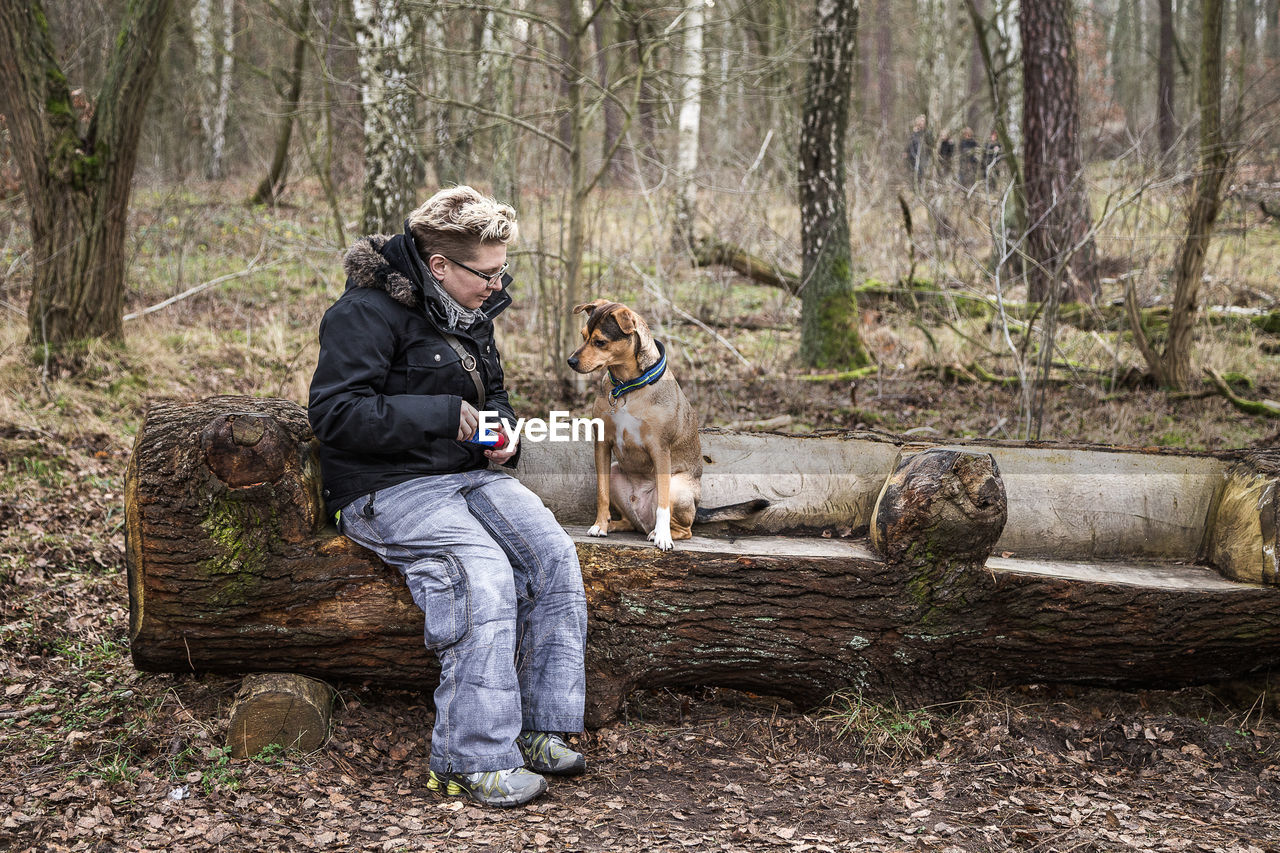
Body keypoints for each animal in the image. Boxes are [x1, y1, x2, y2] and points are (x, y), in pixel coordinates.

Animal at [568, 298, 762, 550]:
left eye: (600, 342)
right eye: (583, 336)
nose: (571, 361)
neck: (627, 387)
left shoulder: (660, 450)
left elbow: (662, 503)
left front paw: (663, 537)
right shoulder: (602, 444)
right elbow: (601, 493)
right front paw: (600, 525)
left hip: (678, 488)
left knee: (684, 528)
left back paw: (659, 532)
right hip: (615, 472)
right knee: (631, 521)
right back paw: (616, 525)